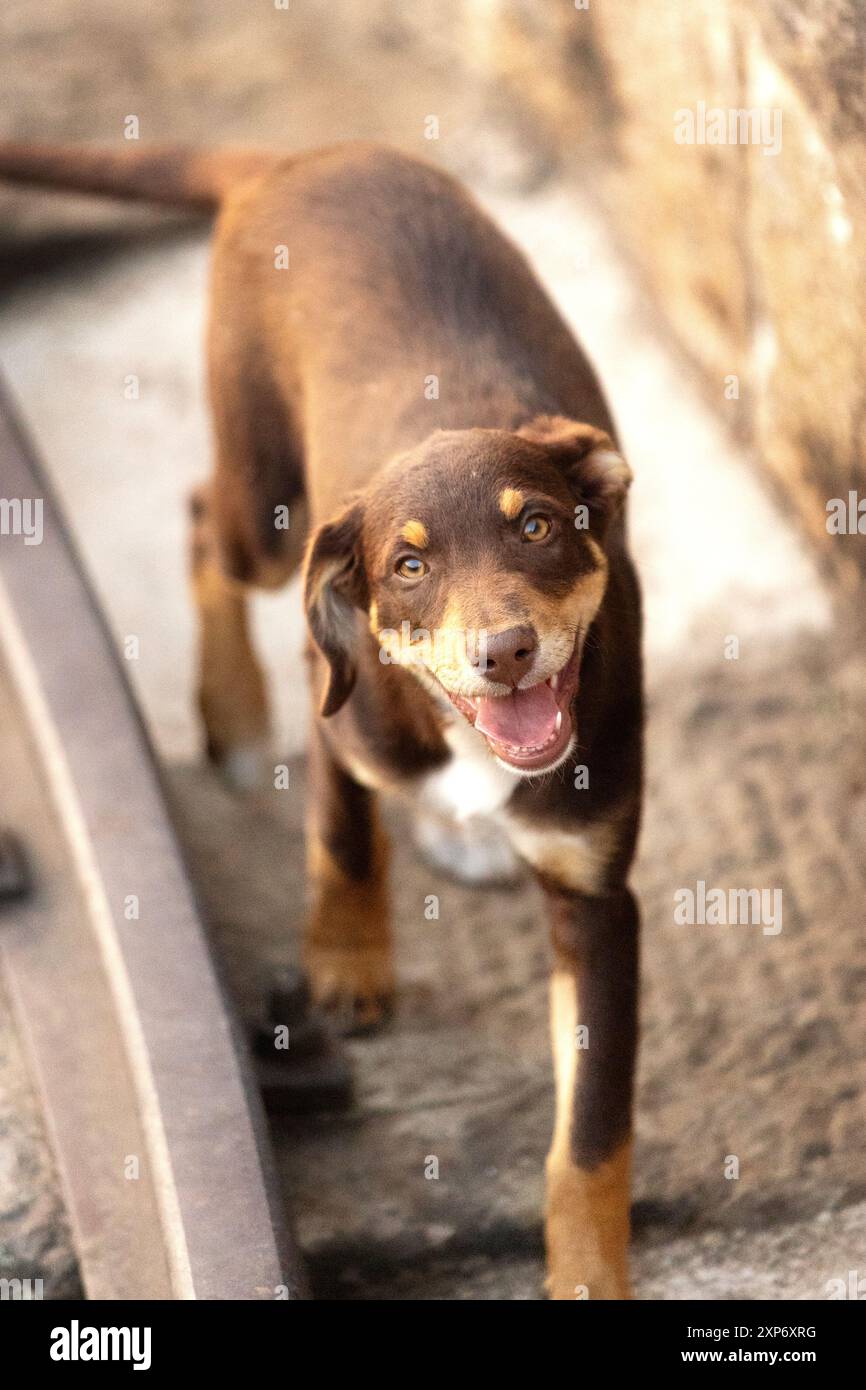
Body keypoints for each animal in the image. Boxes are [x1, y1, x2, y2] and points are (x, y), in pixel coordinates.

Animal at [0, 143, 644, 1301]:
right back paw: (232, 712)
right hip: (264, 505)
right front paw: (348, 966)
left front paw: (584, 1276)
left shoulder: (597, 896)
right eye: (409, 566)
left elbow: (590, 1133)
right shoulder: (341, 701)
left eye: (536, 526)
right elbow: (342, 836)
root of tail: (299, 155)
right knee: (203, 523)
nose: (504, 654)